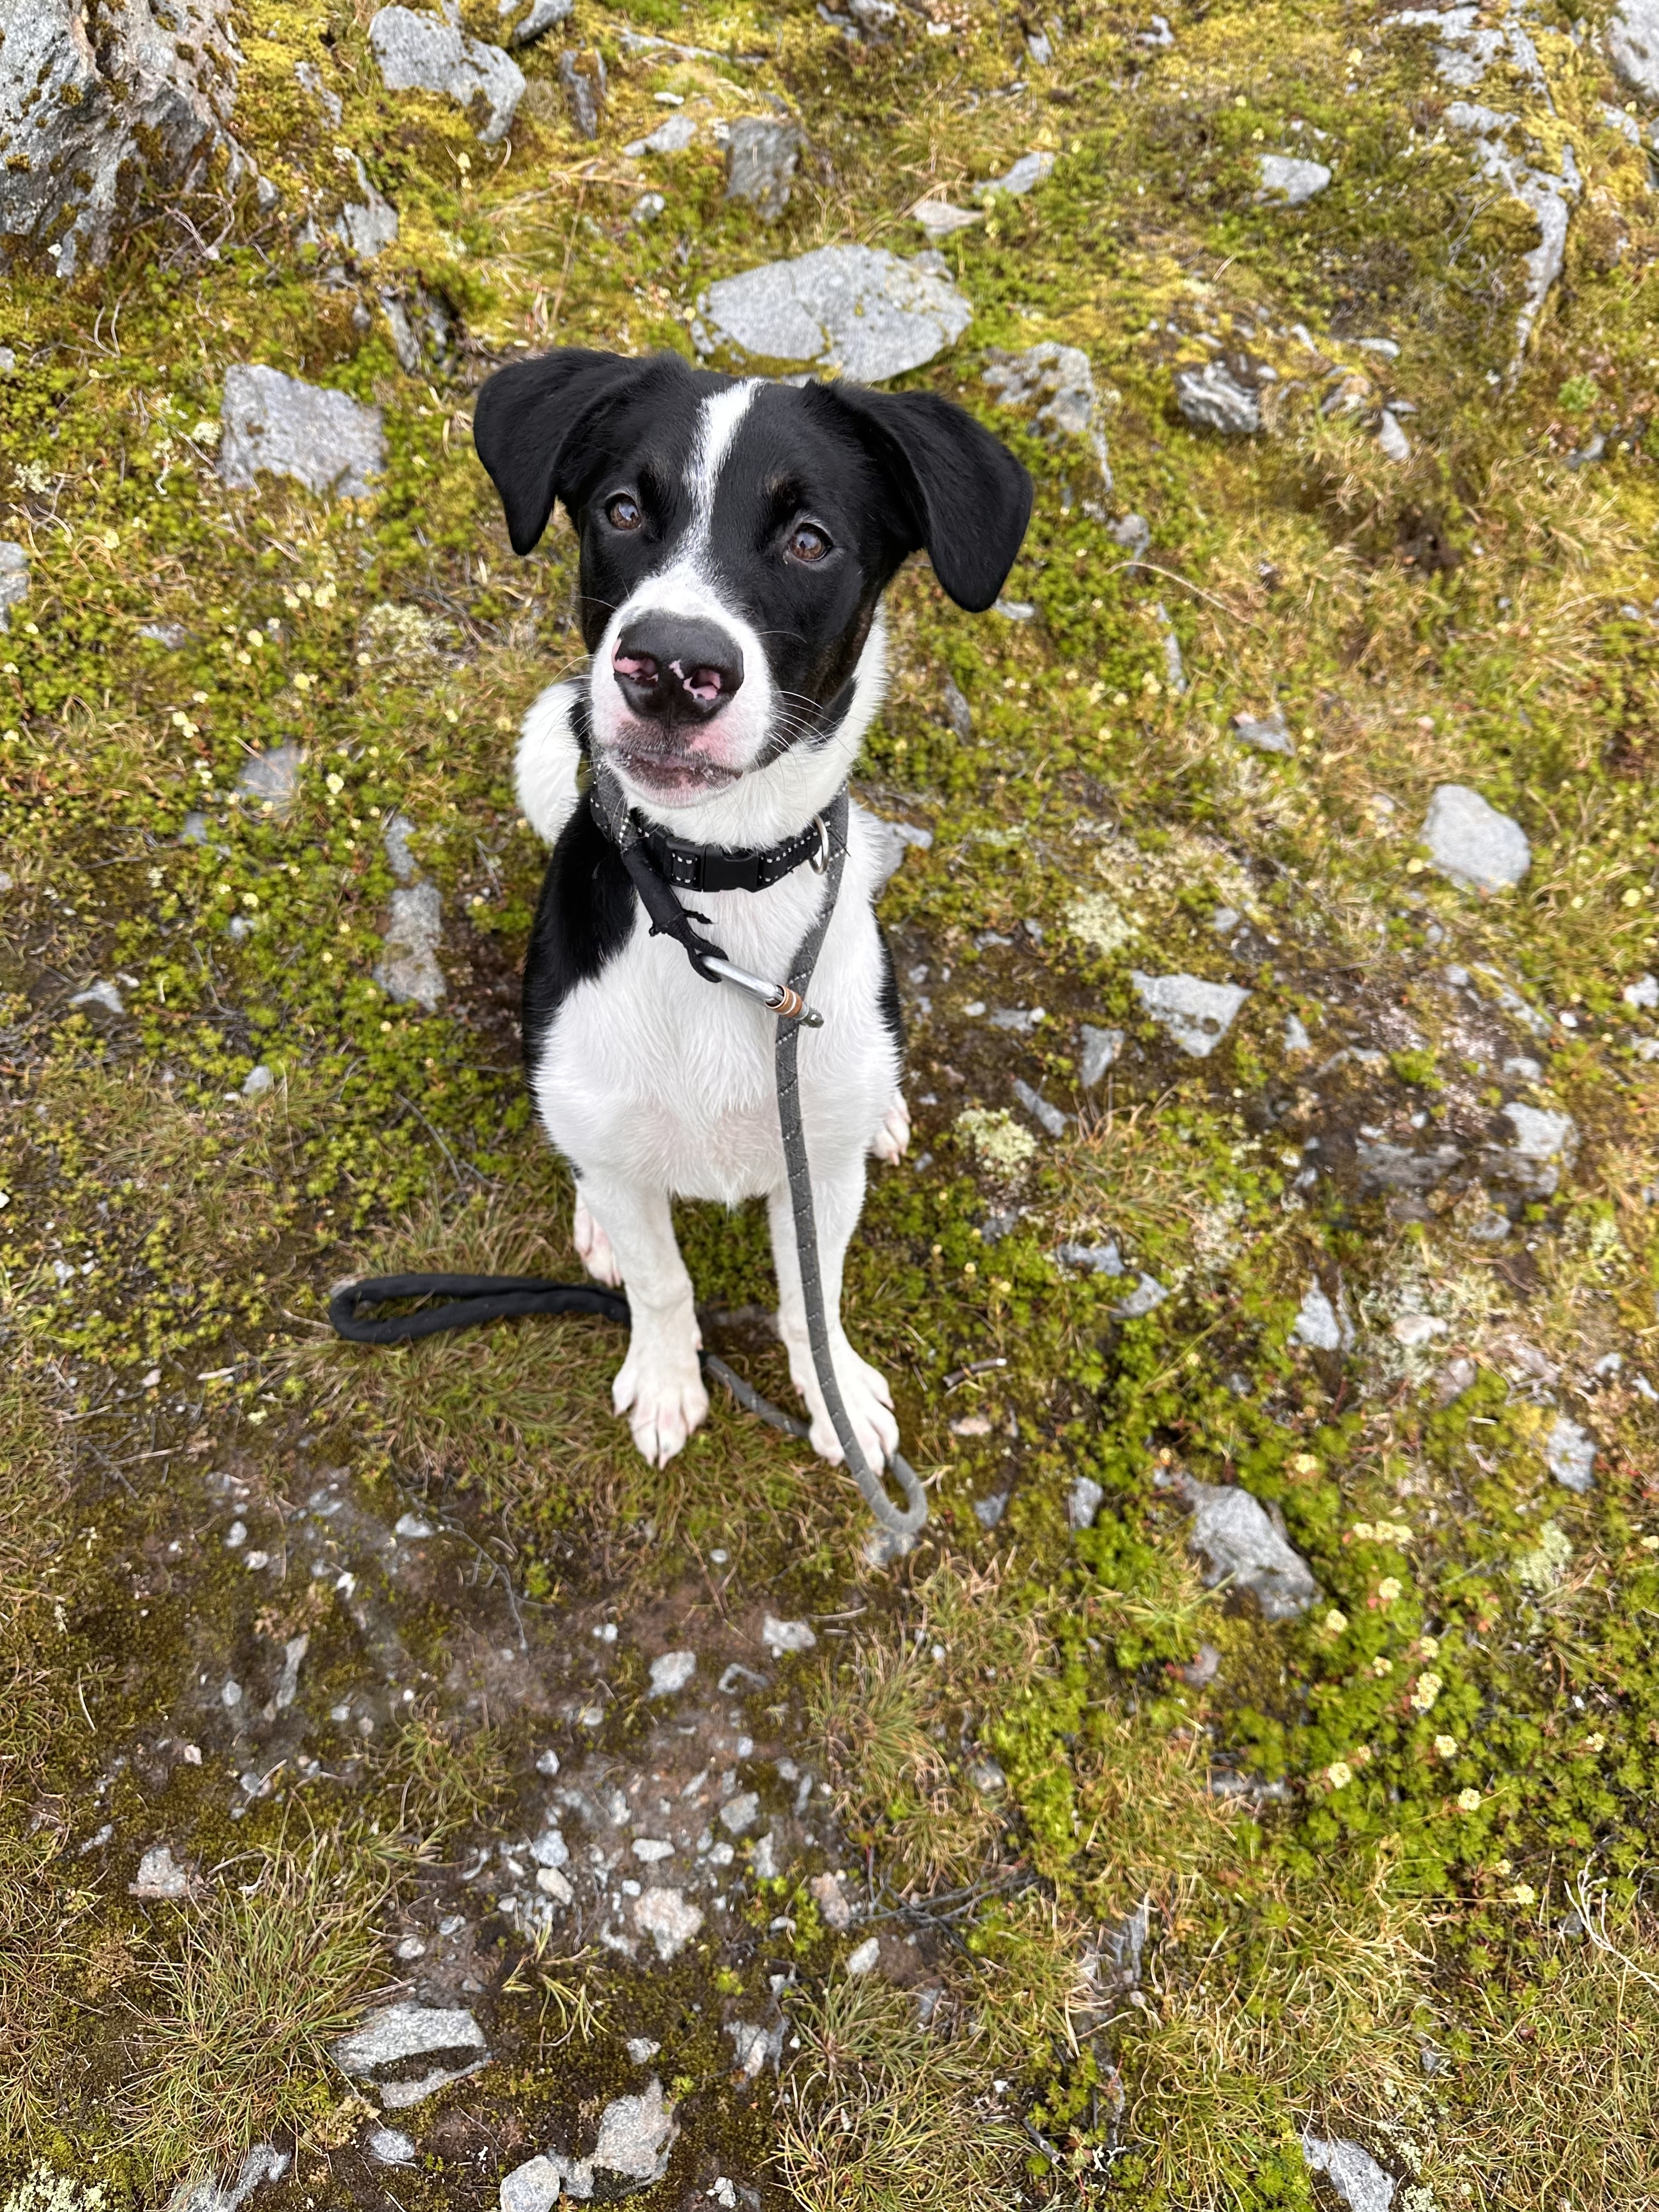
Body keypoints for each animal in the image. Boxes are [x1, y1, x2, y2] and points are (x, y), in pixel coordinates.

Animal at [473, 349, 1035, 1469]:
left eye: (809, 539)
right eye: (622, 510)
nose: (669, 668)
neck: (714, 895)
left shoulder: (813, 1164)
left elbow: (811, 1297)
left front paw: (835, 1394)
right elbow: (662, 1279)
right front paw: (664, 1378)